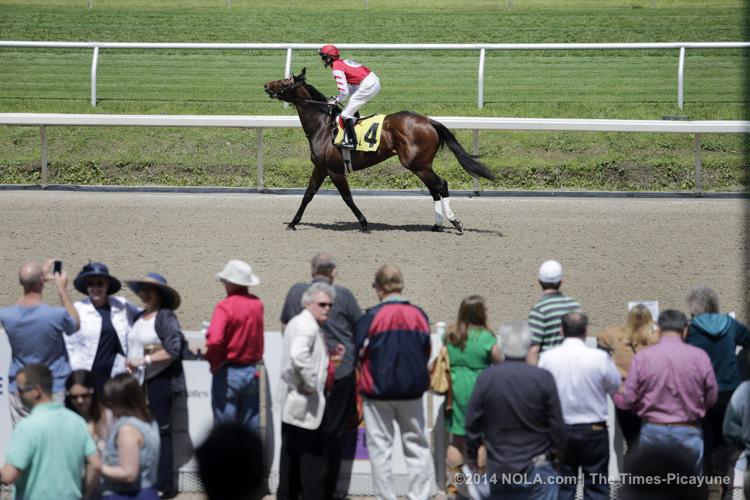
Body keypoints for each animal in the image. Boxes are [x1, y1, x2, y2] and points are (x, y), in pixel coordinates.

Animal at [266, 68, 500, 234]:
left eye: (285, 82)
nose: (266, 85)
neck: (323, 127)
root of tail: (429, 121)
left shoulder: (335, 170)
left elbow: (347, 197)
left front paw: (363, 223)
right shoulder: (321, 167)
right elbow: (308, 195)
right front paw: (293, 222)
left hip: (417, 164)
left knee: (441, 185)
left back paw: (455, 222)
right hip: (421, 165)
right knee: (434, 189)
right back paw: (436, 225)